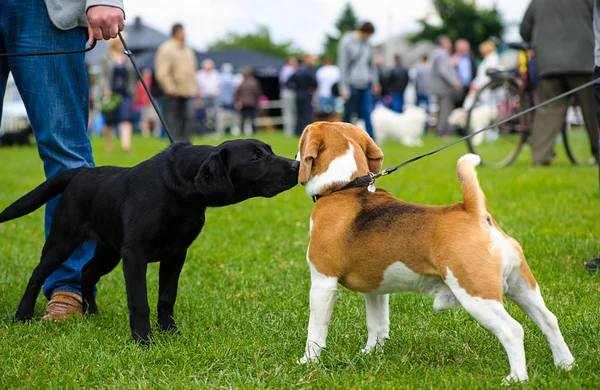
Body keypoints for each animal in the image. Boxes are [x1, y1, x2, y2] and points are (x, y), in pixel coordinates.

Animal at [0, 139, 300, 342]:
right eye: (256, 157)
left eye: (270, 151)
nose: (297, 165)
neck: (182, 192)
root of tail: (80, 173)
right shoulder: (135, 254)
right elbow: (139, 302)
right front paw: (144, 340)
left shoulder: (176, 253)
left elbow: (166, 297)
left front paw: (170, 333)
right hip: (63, 240)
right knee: (38, 274)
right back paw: (22, 315)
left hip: (109, 251)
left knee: (86, 272)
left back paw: (92, 312)